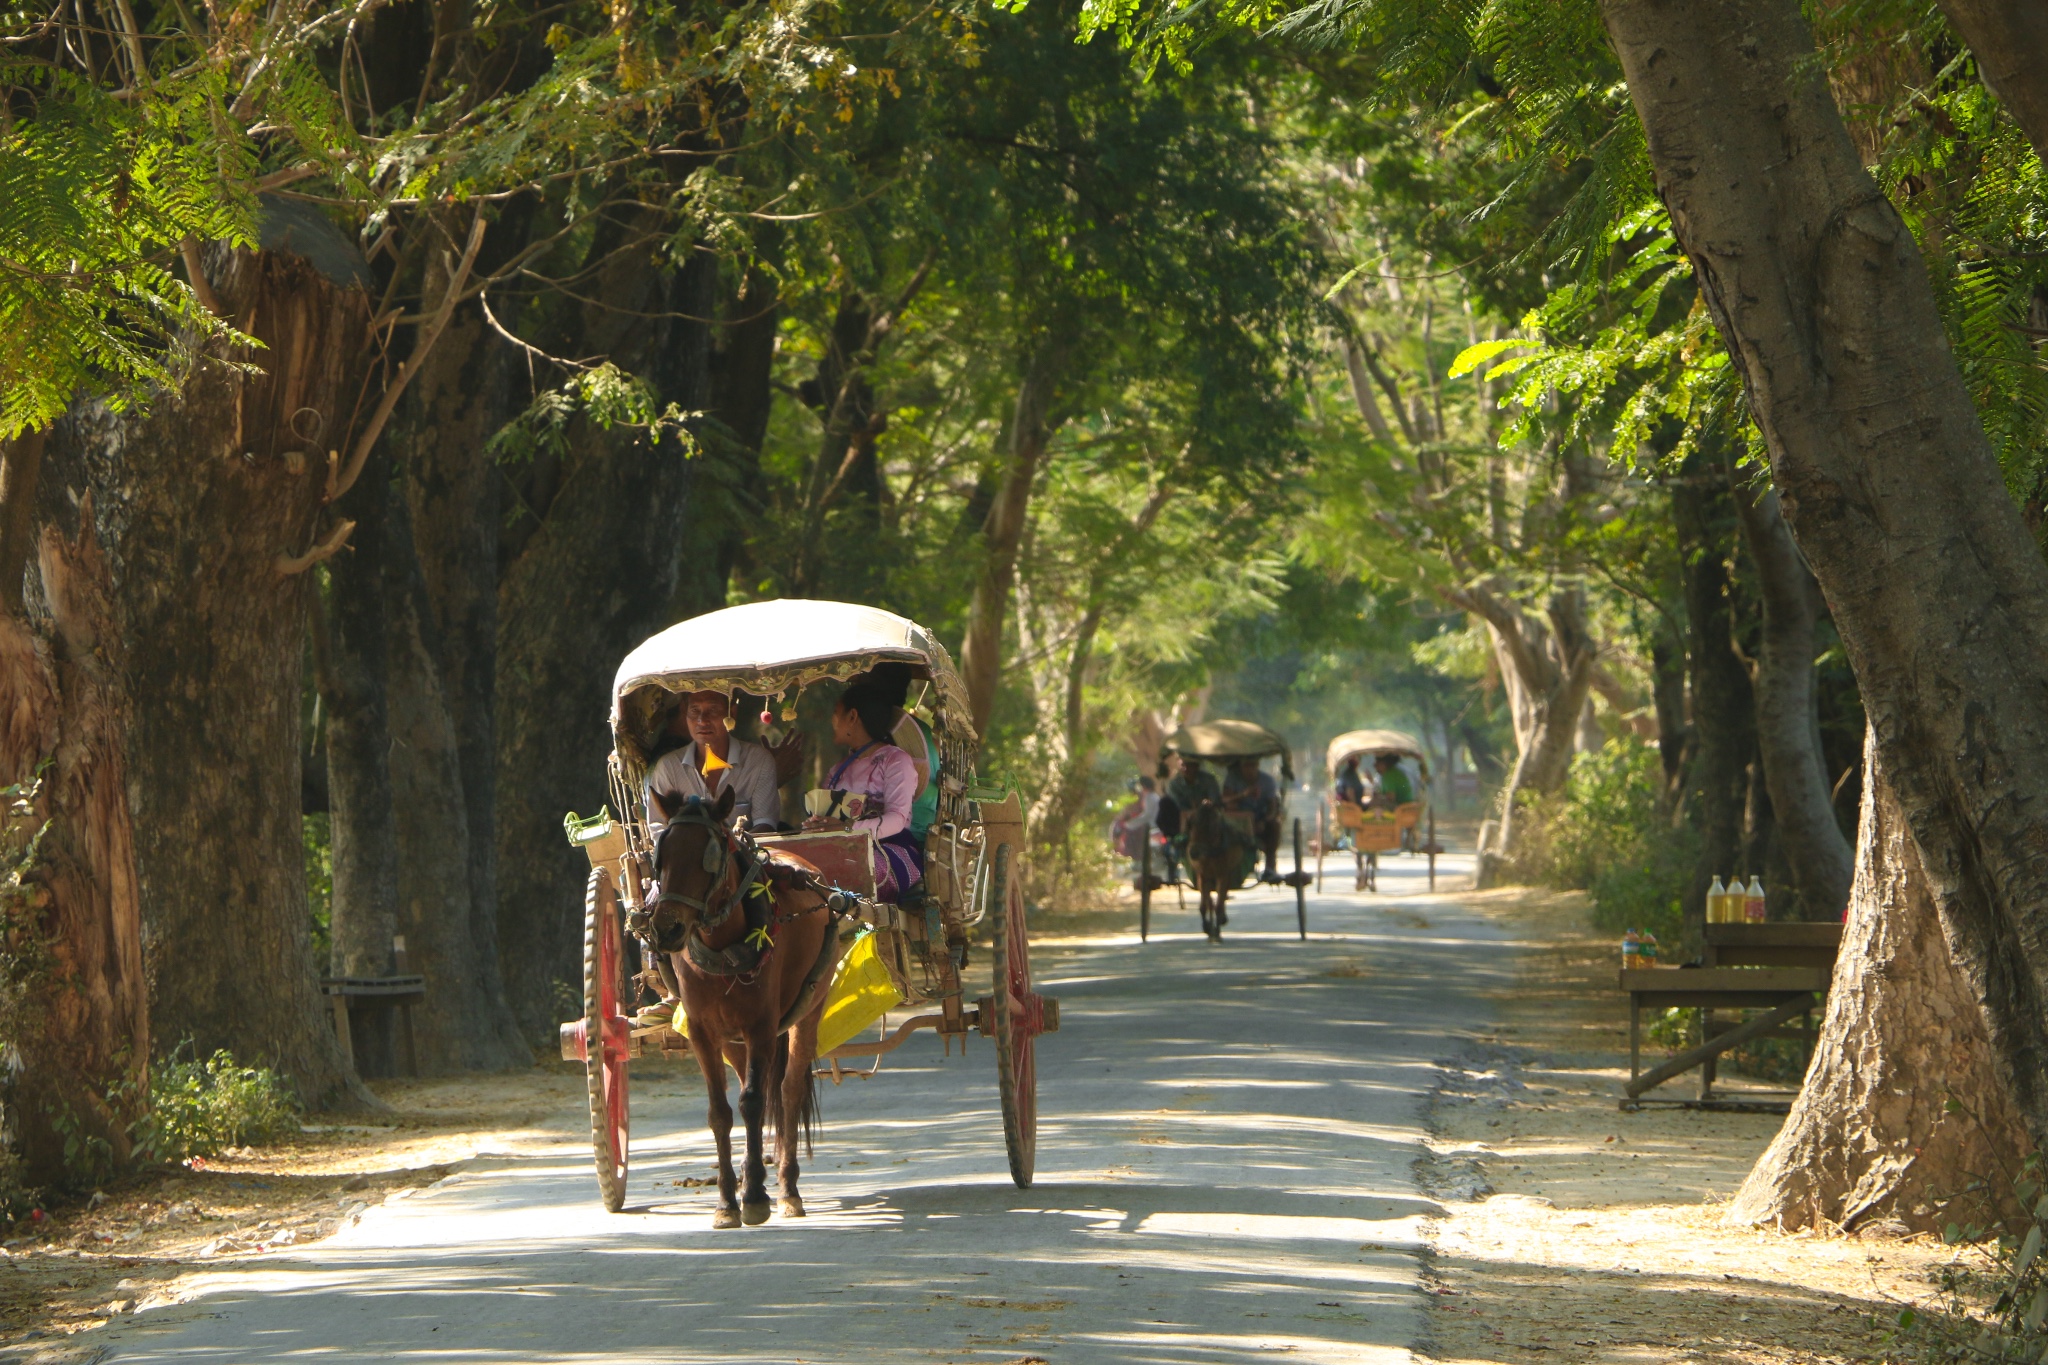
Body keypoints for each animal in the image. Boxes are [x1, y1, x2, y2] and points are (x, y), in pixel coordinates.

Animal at [638, 785, 831, 1236]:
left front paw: (756, 1198)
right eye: (660, 855)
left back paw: (788, 1190)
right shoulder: (703, 1033)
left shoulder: (762, 1027)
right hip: (732, 1038)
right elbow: (721, 1114)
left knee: (787, 1091)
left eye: (710, 855)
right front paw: (728, 1202)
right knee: (749, 1087)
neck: (722, 945)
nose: (666, 929)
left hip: (807, 1010)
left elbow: (755, 1103)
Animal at [1187, 794, 1245, 945]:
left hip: (1228, 872)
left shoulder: (1222, 874)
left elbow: (1219, 903)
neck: (1210, 850)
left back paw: (1220, 922)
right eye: (1190, 823)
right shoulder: (1202, 875)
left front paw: (1217, 932)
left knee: (1222, 895)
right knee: (1211, 900)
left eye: (1209, 826)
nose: (1193, 853)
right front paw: (1207, 928)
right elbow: (1203, 906)